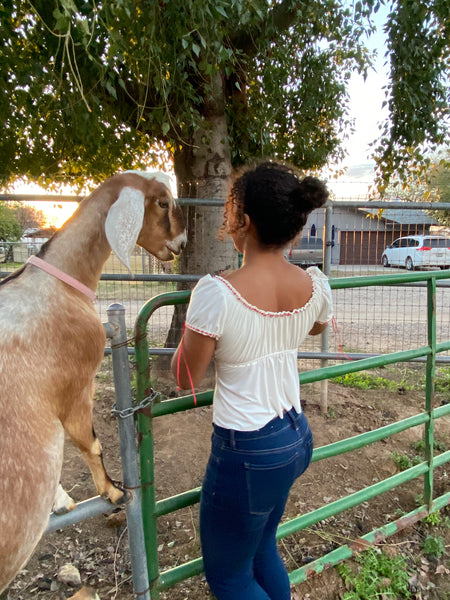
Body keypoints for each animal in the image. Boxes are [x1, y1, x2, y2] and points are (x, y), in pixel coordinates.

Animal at [0, 171, 186, 592]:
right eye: (162, 202)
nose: (181, 243)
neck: (56, 283)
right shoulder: (74, 391)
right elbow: (92, 444)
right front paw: (113, 491)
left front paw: (61, 501)